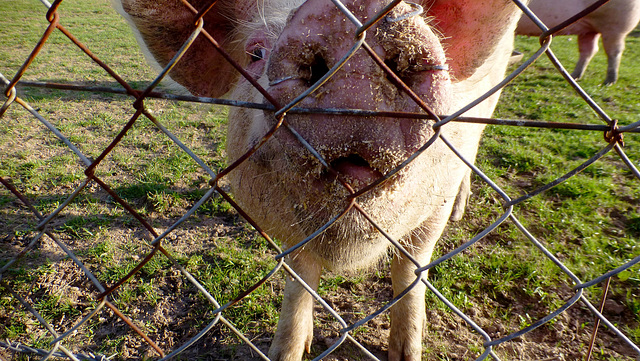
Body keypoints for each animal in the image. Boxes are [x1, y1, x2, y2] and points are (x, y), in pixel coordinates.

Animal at [117, 0, 528, 358]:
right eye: (255, 53)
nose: (352, 16)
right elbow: (300, 279)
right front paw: (288, 352)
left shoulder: (435, 202)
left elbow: (410, 271)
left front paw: (407, 355)